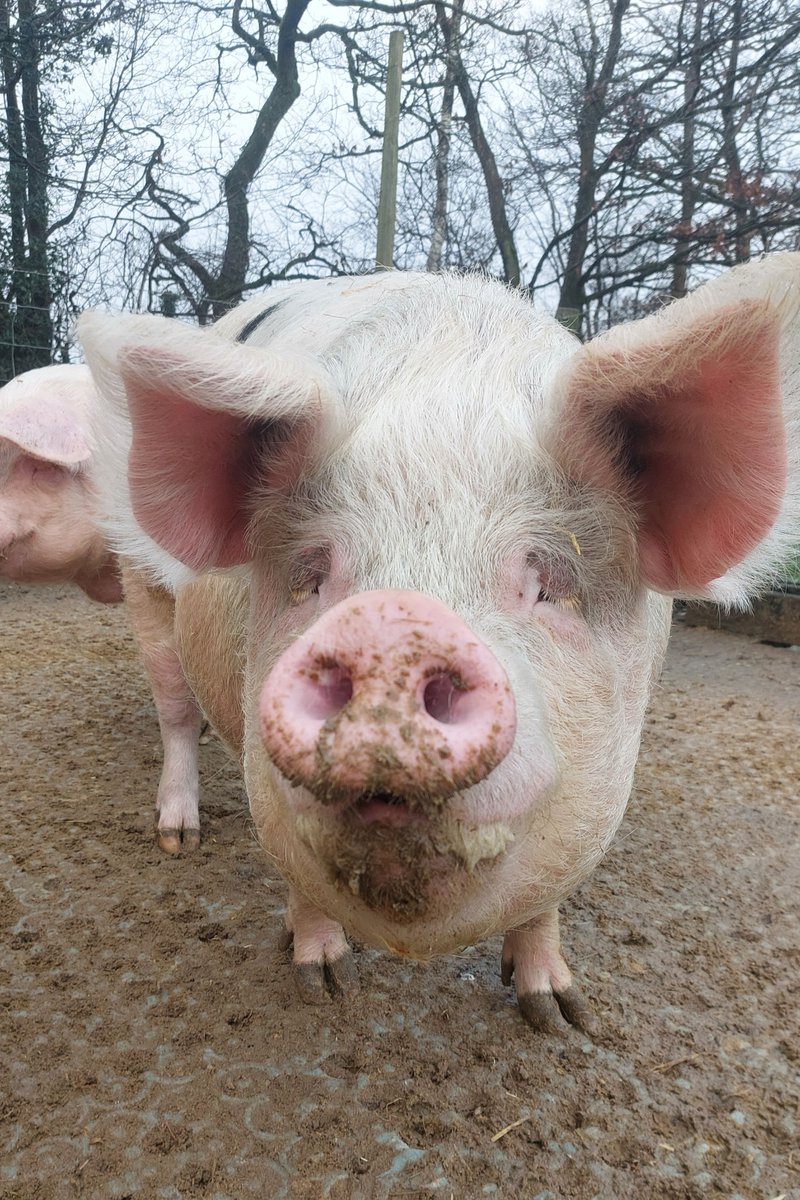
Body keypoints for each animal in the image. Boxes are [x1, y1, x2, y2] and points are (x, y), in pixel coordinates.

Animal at [78, 254, 800, 1032]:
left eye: (552, 579)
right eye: (312, 575)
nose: (391, 623)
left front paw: (559, 1015)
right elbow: (296, 870)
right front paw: (323, 982)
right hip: (143, 586)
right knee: (175, 709)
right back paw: (177, 837)